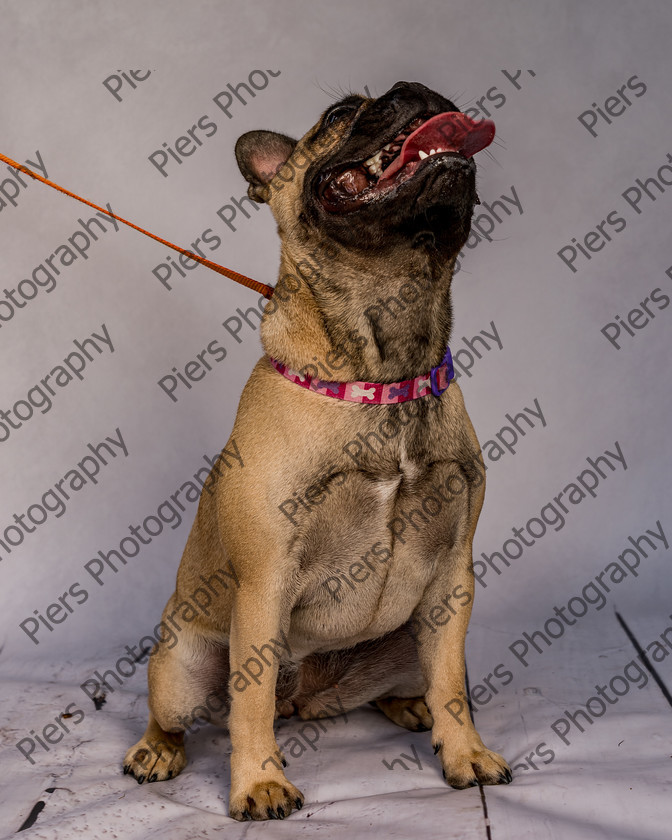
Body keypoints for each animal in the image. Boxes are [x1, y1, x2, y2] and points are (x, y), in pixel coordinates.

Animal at [126, 83, 512, 820]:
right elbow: (249, 700)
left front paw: (465, 752)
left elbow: (452, 681)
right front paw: (258, 782)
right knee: (189, 711)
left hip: (406, 636)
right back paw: (158, 750)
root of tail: (304, 696)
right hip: (181, 663)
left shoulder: (452, 576)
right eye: (338, 115)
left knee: (417, 675)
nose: (415, 89)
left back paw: (411, 706)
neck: (384, 369)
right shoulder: (265, 580)